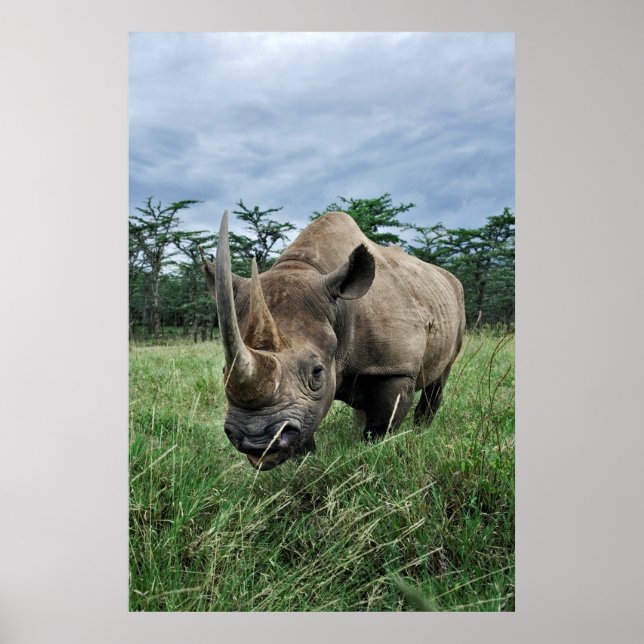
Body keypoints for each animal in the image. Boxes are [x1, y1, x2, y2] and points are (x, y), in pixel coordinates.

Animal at [202, 210, 465, 470]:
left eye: (317, 372)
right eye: (224, 371)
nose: (256, 442)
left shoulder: (395, 369)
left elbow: (380, 427)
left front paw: (371, 455)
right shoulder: (306, 403)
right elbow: (307, 428)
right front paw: (306, 465)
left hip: (455, 298)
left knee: (440, 377)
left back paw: (421, 433)